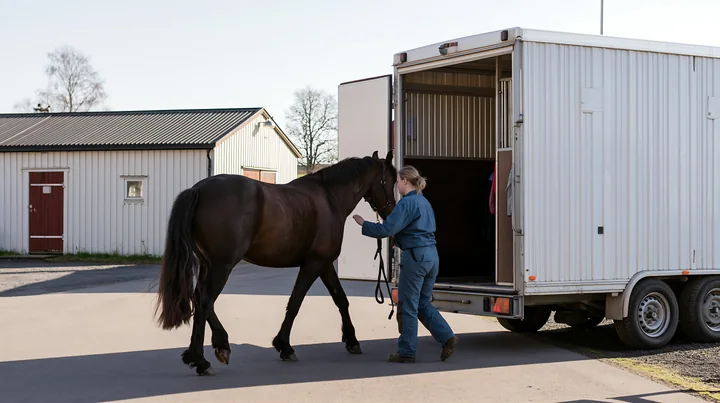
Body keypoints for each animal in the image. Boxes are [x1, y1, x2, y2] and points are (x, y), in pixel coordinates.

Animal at [155, 150, 397, 375]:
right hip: (222, 266)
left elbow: (341, 300)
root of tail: (198, 190)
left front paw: (352, 340)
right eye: (391, 180)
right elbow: (295, 302)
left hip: (209, 265)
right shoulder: (314, 263)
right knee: (205, 300)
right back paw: (201, 360)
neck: (330, 198)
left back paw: (219, 345)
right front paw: (285, 346)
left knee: (200, 298)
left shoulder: (325, 264)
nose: (391, 210)